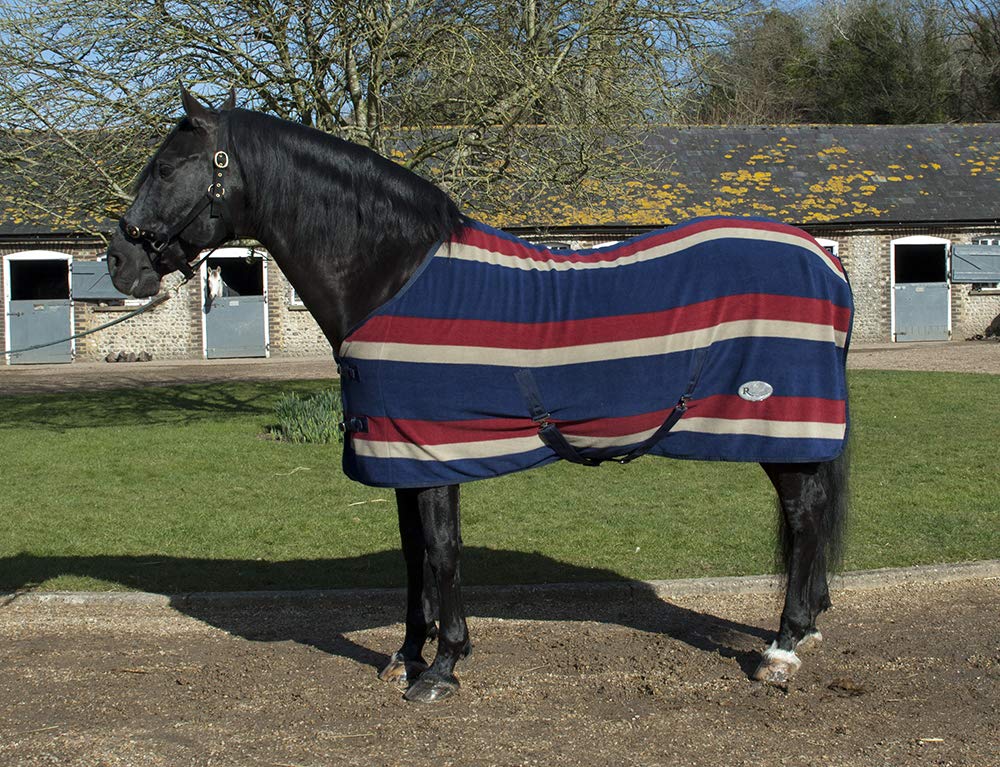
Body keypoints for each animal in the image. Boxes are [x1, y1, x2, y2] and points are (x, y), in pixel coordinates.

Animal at [107, 88, 852, 704]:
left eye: (168, 168)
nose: (120, 261)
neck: (393, 274)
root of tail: (825, 257)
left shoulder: (431, 450)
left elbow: (441, 550)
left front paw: (443, 667)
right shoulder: (400, 454)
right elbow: (413, 555)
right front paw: (408, 654)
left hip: (779, 427)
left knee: (805, 514)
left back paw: (783, 647)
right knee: (808, 518)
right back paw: (807, 626)